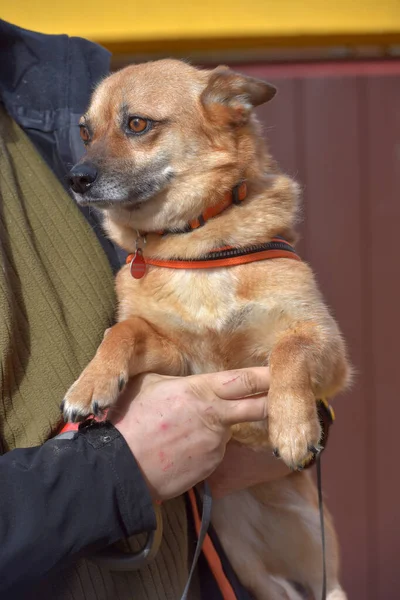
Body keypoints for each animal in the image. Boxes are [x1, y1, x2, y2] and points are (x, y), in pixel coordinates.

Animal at [63, 57, 350, 600]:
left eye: (137, 124)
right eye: (85, 132)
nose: (76, 178)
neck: (195, 244)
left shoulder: (326, 346)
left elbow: (290, 351)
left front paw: (294, 425)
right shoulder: (178, 358)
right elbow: (123, 331)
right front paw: (91, 384)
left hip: (316, 544)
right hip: (246, 557)